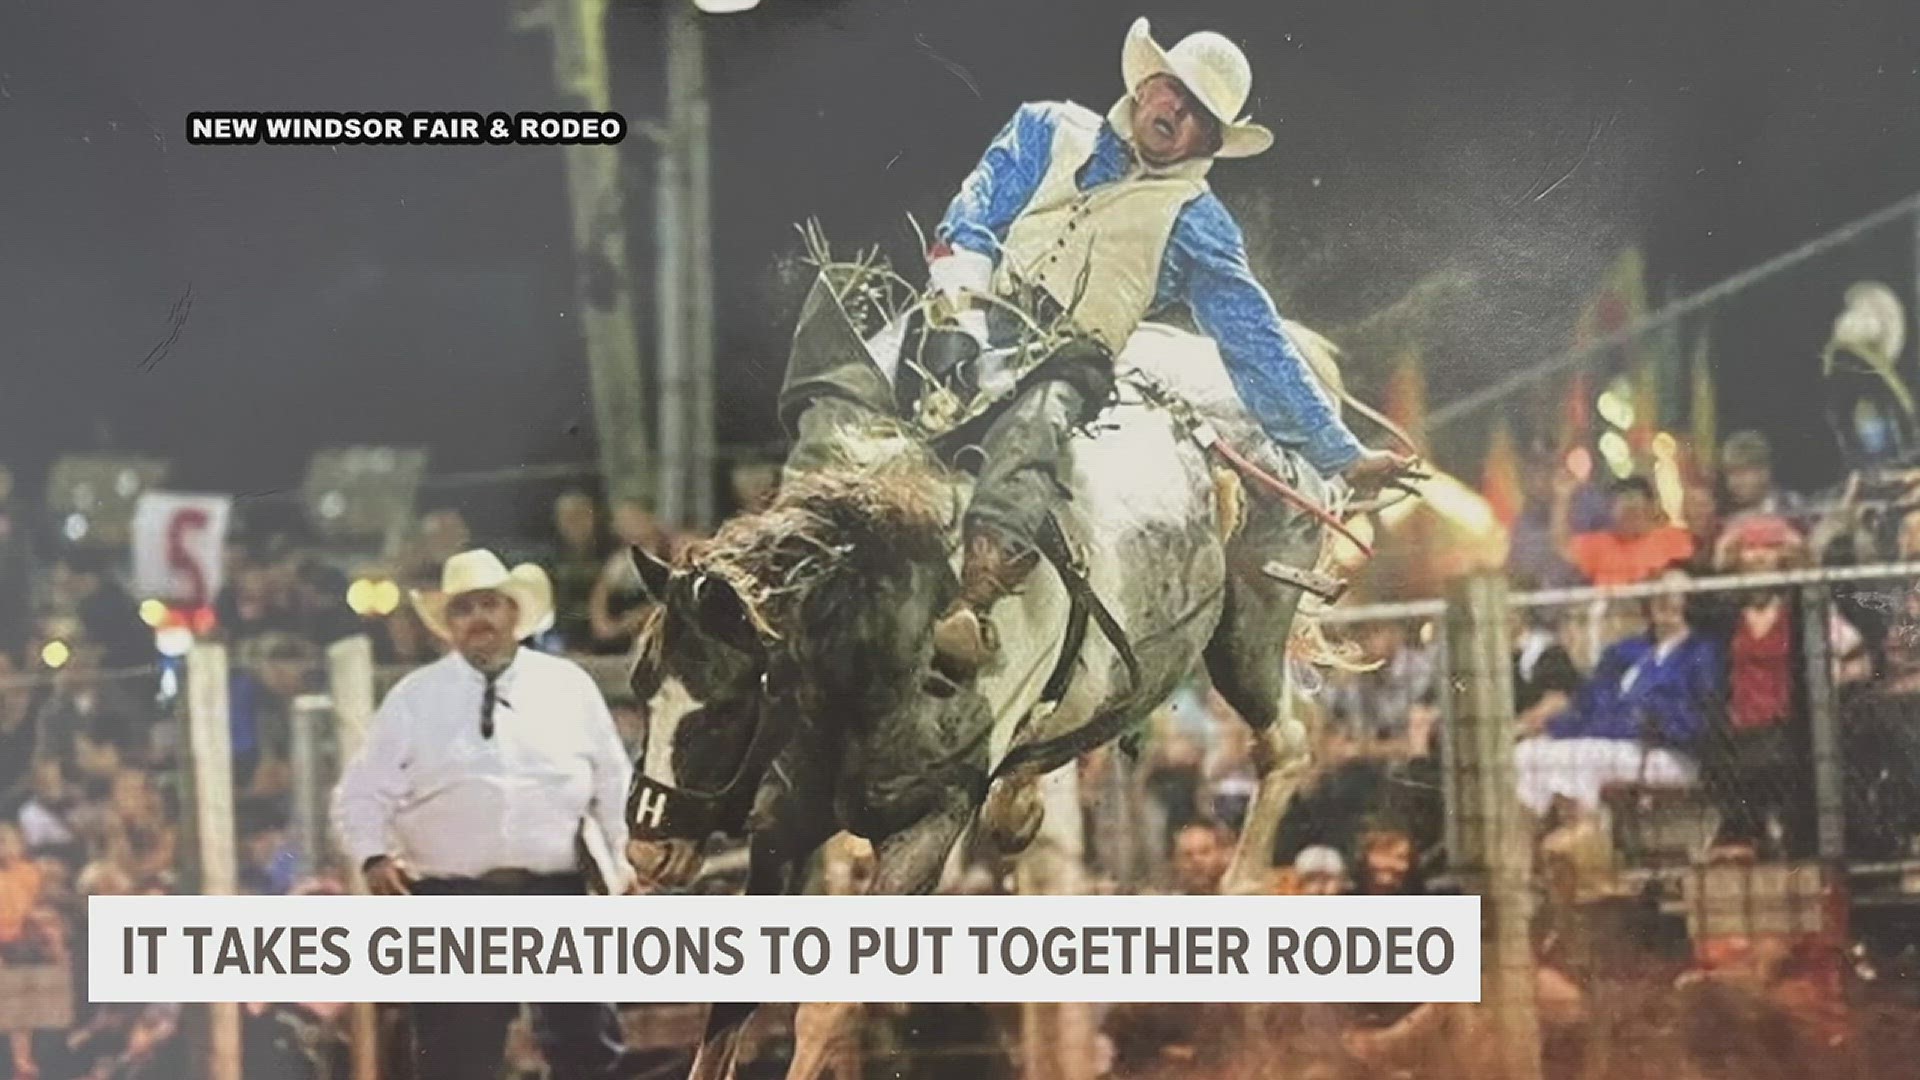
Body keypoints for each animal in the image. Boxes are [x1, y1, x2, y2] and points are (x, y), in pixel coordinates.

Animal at [622, 247, 1405, 1076]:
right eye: (641, 689)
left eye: (728, 707)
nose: (647, 849)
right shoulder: (783, 821)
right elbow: (729, 1010)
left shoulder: (929, 825)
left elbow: (825, 1009)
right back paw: (1024, 798)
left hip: (1250, 627)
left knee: (1284, 745)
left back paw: (1236, 885)